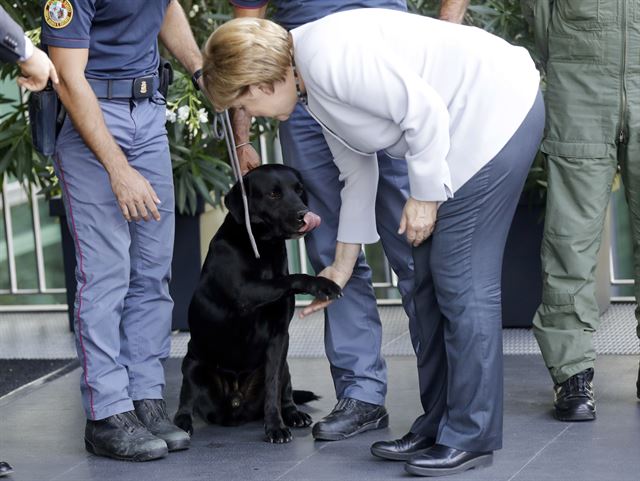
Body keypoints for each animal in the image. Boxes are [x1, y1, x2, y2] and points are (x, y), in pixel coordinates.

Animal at [170, 164, 340, 442]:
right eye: (273, 194)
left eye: (299, 190)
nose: (305, 215)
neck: (263, 246)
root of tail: (237, 406)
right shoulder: (244, 292)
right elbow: (290, 278)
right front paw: (321, 284)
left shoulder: (279, 339)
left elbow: (273, 387)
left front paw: (275, 425)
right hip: (193, 363)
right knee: (186, 393)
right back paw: (182, 421)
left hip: (286, 364)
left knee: (285, 389)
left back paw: (293, 413)